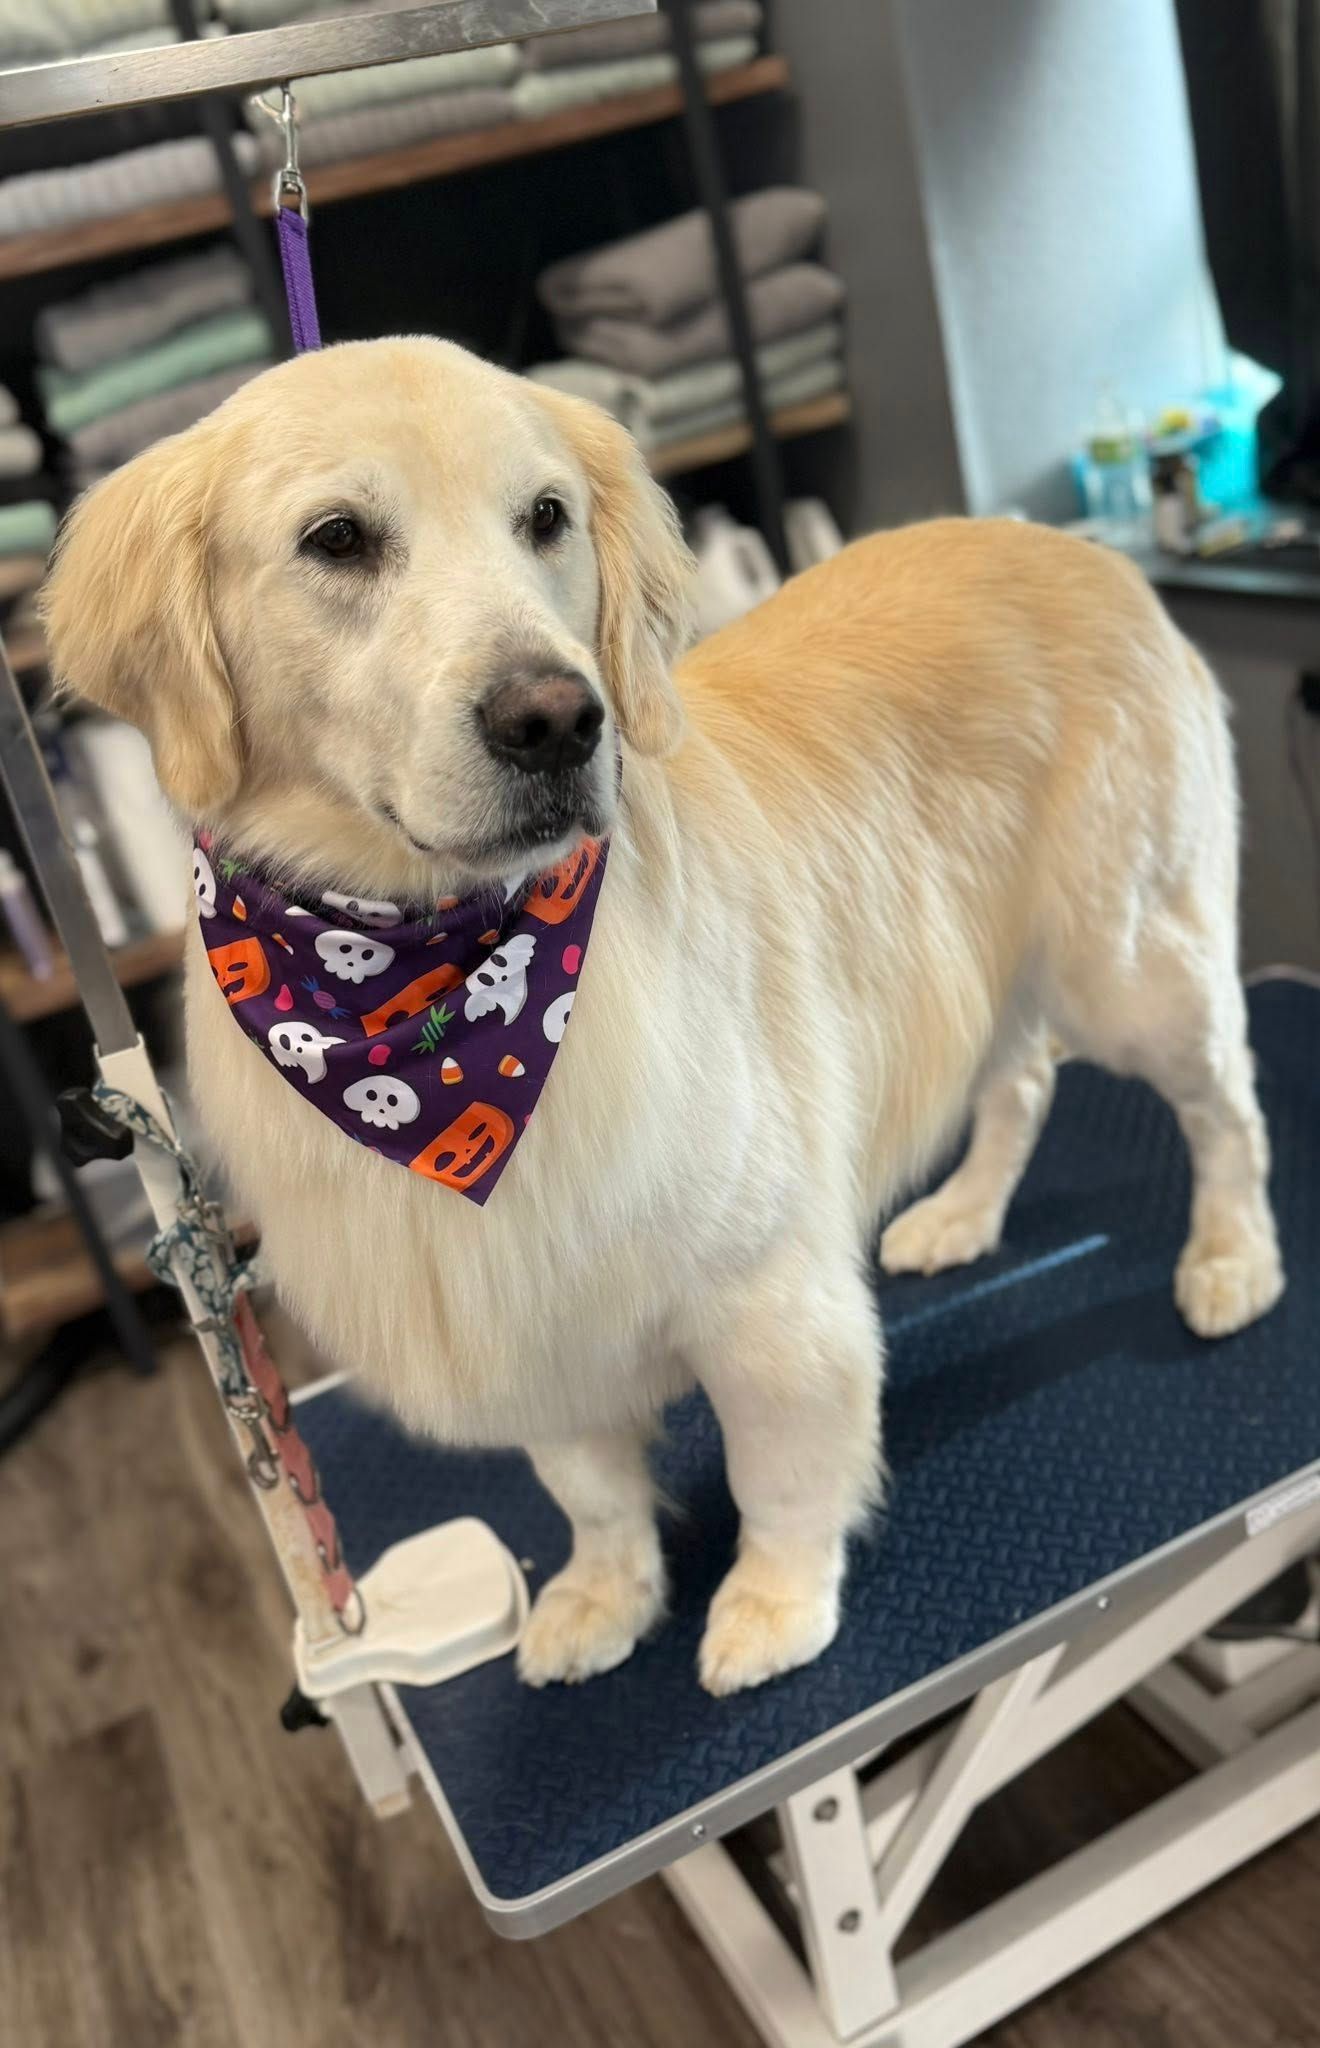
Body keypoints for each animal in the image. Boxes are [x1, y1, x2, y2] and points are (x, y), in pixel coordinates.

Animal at [42, 338, 1284, 1697]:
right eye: (337, 538)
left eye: (546, 516)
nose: (557, 718)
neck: (421, 985)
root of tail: (1073, 546)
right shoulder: (519, 1308)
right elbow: (586, 1486)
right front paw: (605, 1592)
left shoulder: (766, 1287)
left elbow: (779, 1464)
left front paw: (774, 1602)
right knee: (1021, 1080)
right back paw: (962, 1213)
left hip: (1128, 958)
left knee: (1227, 1104)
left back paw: (1232, 1256)